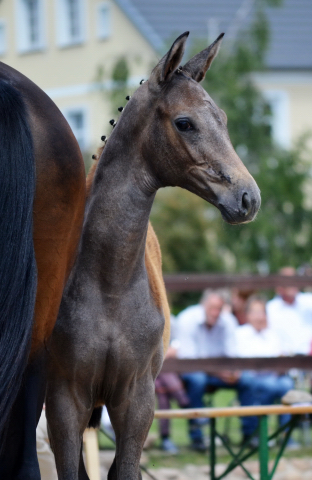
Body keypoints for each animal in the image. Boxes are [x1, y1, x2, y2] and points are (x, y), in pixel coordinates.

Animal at [47, 31, 260, 478]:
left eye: (223, 119)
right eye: (184, 122)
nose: (248, 198)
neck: (109, 286)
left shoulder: (137, 400)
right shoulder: (63, 397)